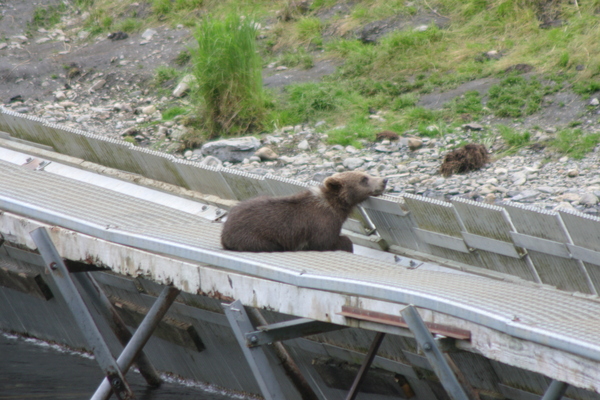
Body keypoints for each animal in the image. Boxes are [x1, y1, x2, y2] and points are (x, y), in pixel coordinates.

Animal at [221, 172, 390, 253]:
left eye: (366, 174)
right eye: (363, 179)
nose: (384, 180)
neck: (336, 206)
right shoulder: (321, 224)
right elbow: (327, 242)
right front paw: (346, 244)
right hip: (253, 237)